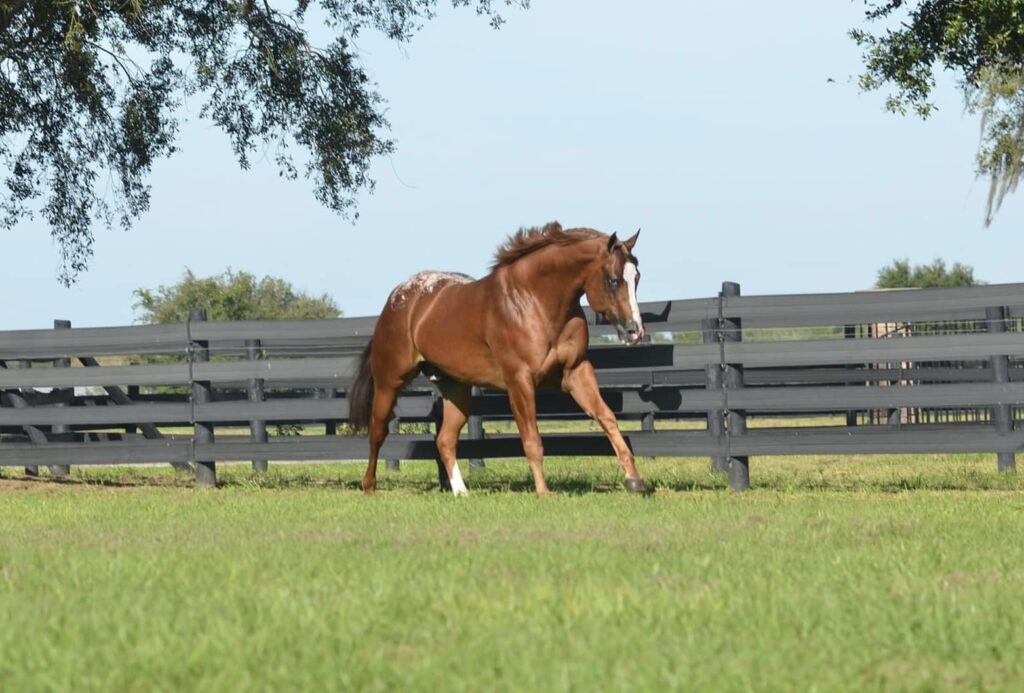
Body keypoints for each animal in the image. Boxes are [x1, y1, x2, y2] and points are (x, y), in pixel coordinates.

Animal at [346, 219, 647, 495]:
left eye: (636, 278)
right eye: (613, 280)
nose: (635, 331)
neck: (535, 301)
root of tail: (398, 298)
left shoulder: (576, 372)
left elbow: (607, 418)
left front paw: (635, 481)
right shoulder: (520, 381)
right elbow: (532, 439)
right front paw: (543, 492)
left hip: (456, 389)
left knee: (445, 440)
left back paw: (462, 493)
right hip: (390, 382)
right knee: (378, 431)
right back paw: (369, 487)